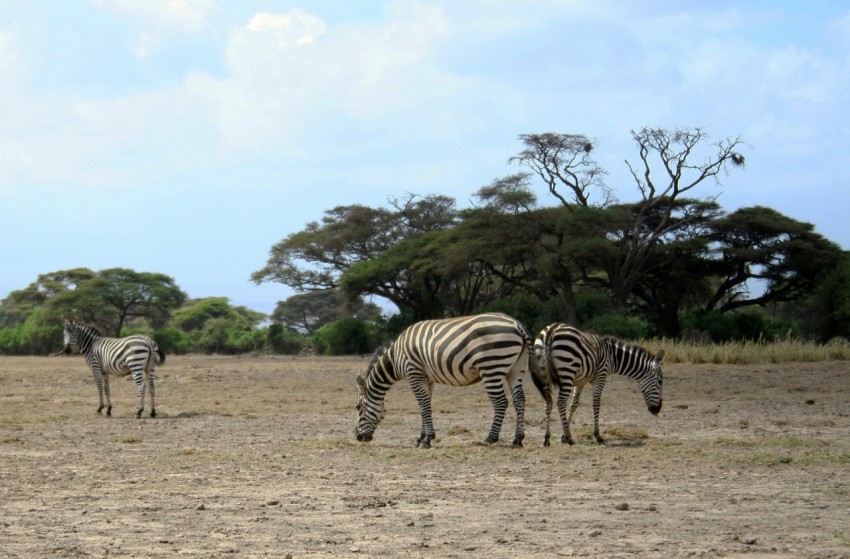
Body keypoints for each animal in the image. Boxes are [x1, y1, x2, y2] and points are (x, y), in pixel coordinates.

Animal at [354, 312, 548, 448]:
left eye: (358, 407)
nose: (357, 437)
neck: (396, 358)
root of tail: (516, 324)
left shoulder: (414, 374)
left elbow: (423, 406)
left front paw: (427, 439)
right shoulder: (427, 379)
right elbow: (425, 406)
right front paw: (421, 437)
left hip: (491, 367)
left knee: (501, 402)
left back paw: (490, 438)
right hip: (516, 368)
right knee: (519, 400)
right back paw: (517, 439)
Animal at [528, 324, 664, 446]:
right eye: (660, 381)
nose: (657, 409)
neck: (613, 357)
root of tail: (550, 332)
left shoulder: (580, 382)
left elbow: (574, 405)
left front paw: (562, 437)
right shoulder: (600, 377)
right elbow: (596, 404)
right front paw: (597, 435)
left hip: (545, 374)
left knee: (548, 403)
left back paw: (547, 438)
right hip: (567, 371)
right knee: (560, 402)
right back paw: (570, 438)